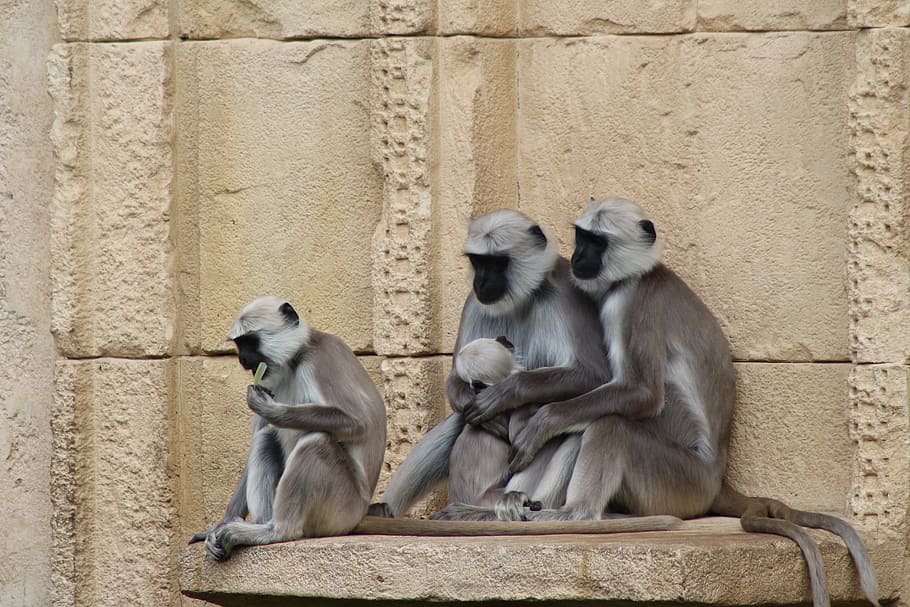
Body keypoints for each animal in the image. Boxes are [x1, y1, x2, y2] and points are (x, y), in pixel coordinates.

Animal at [188, 296, 387, 560]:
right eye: (240, 345)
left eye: (250, 342)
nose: (242, 360)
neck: (295, 360)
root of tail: (360, 514)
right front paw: (220, 523)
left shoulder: (321, 360)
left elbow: (360, 422)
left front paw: (271, 410)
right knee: (265, 437)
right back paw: (258, 525)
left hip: (342, 509)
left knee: (315, 442)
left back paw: (278, 531)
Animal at [464, 197, 878, 607]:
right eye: (582, 237)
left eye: (597, 242)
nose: (578, 255)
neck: (644, 273)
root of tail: (715, 478)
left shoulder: (630, 302)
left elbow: (641, 393)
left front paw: (541, 420)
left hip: (680, 481)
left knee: (611, 425)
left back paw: (574, 514)